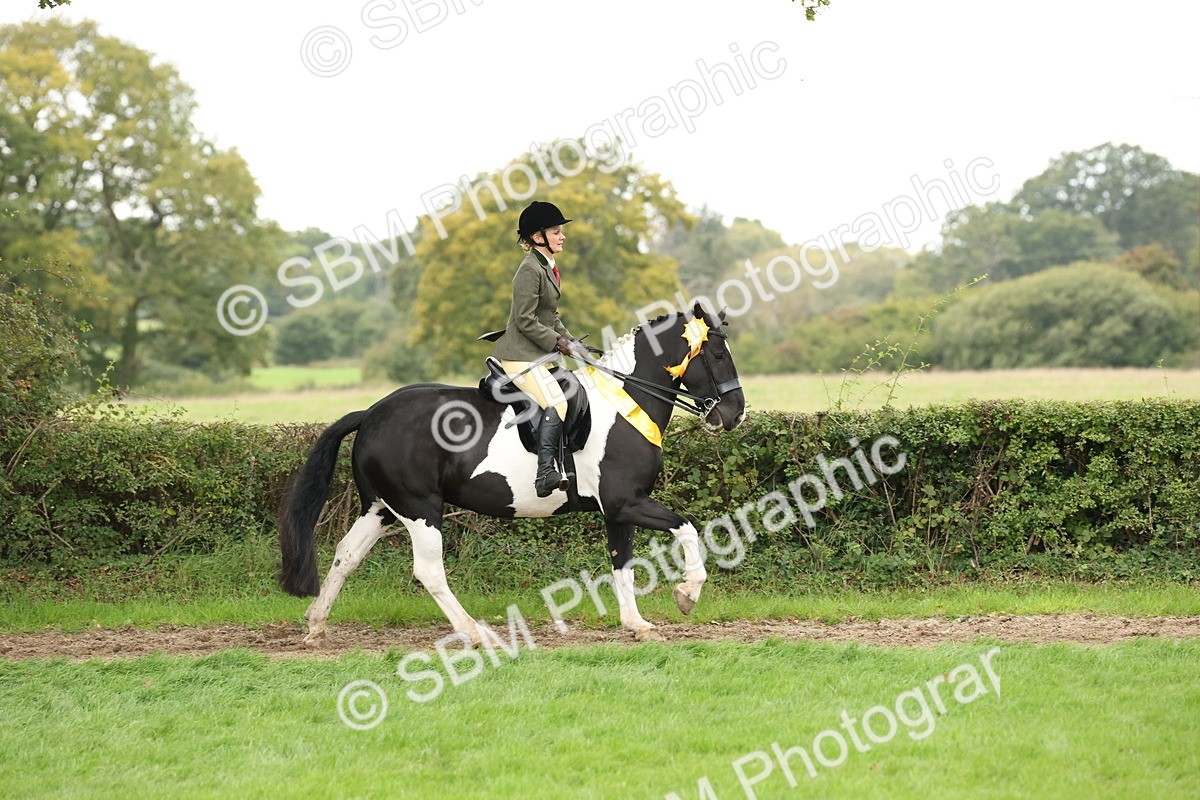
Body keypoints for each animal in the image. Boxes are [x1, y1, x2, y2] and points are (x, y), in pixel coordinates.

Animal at [278, 302, 746, 644]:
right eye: (717, 355)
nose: (734, 415)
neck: (625, 403)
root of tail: (372, 413)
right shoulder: (626, 502)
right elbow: (686, 528)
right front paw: (687, 594)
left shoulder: (617, 510)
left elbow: (622, 563)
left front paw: (637, 625)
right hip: (419, 508)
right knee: (428, 571)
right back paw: (475, 633)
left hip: (380, 508)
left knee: (346, 554)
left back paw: (316, 623)